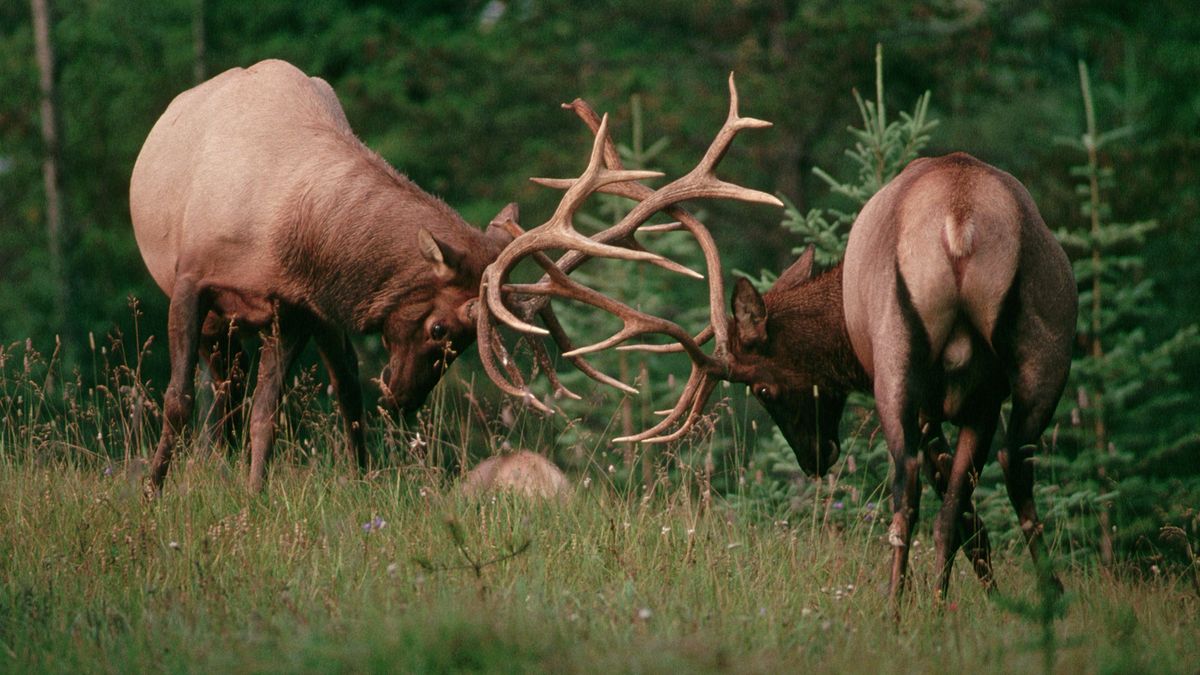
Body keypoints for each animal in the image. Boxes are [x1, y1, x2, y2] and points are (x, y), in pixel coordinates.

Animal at [129, 60, 528, 492]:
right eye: (440, 329)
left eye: (470, 341)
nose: (404, 399)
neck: (272, 233)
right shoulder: (191, 280)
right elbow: (178, 400)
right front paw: (152, 490)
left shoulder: (296, 309)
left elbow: (267, 414)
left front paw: (253, 494)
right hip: (218, 317)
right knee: (230, 383)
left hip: (314, 317)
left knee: (338, 380)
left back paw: (355, 478)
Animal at [477, 79, 1080, 610]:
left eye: (763, 388)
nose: (817, 459)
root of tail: (960, 219)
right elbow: (963, 504)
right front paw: (984, 594)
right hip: (1032, 352)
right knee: (1005, 463)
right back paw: (1033, 595)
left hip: (913, 361)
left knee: (917, 476)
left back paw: (900, 605)